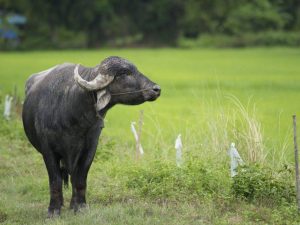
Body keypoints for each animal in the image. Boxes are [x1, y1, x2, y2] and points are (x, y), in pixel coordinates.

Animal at [22, 56, 161, 216]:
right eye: (125, 73)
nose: (156, 89)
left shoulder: (90, 148)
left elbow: (80, 179)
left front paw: (79, 206)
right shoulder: (48, 151)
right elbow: (55, 180)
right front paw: (53, 210)